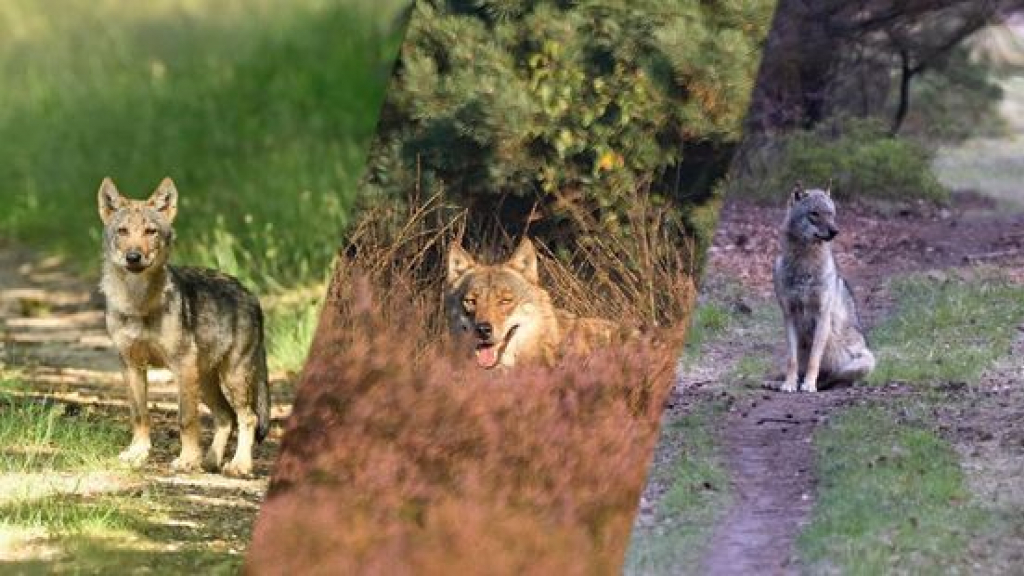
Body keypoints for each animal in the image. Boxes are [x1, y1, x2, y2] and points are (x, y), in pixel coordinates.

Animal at [97, 177, 270, 477]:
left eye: (150, 231)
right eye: (122, 231)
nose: (134, 257)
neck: (138, 303)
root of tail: (251, 294)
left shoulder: (182, 366)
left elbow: (186, 419)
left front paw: (187, 460)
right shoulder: (131, 365)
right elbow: (139, 414)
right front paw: (138, 454)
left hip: (232, 376)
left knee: (247, 417)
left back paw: (239, 465)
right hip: (207, 381)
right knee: (225, 417)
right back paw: (211, 461)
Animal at [772, 183, 876, 392]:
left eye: (831, 214)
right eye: (814, 214)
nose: (835, 231)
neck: (804, 265)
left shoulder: (822, 316)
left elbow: (814, 359)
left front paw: (809, 385)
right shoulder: (789, 315)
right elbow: (791, 361)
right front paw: (789, 384)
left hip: (865, 360)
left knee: (835, 378)